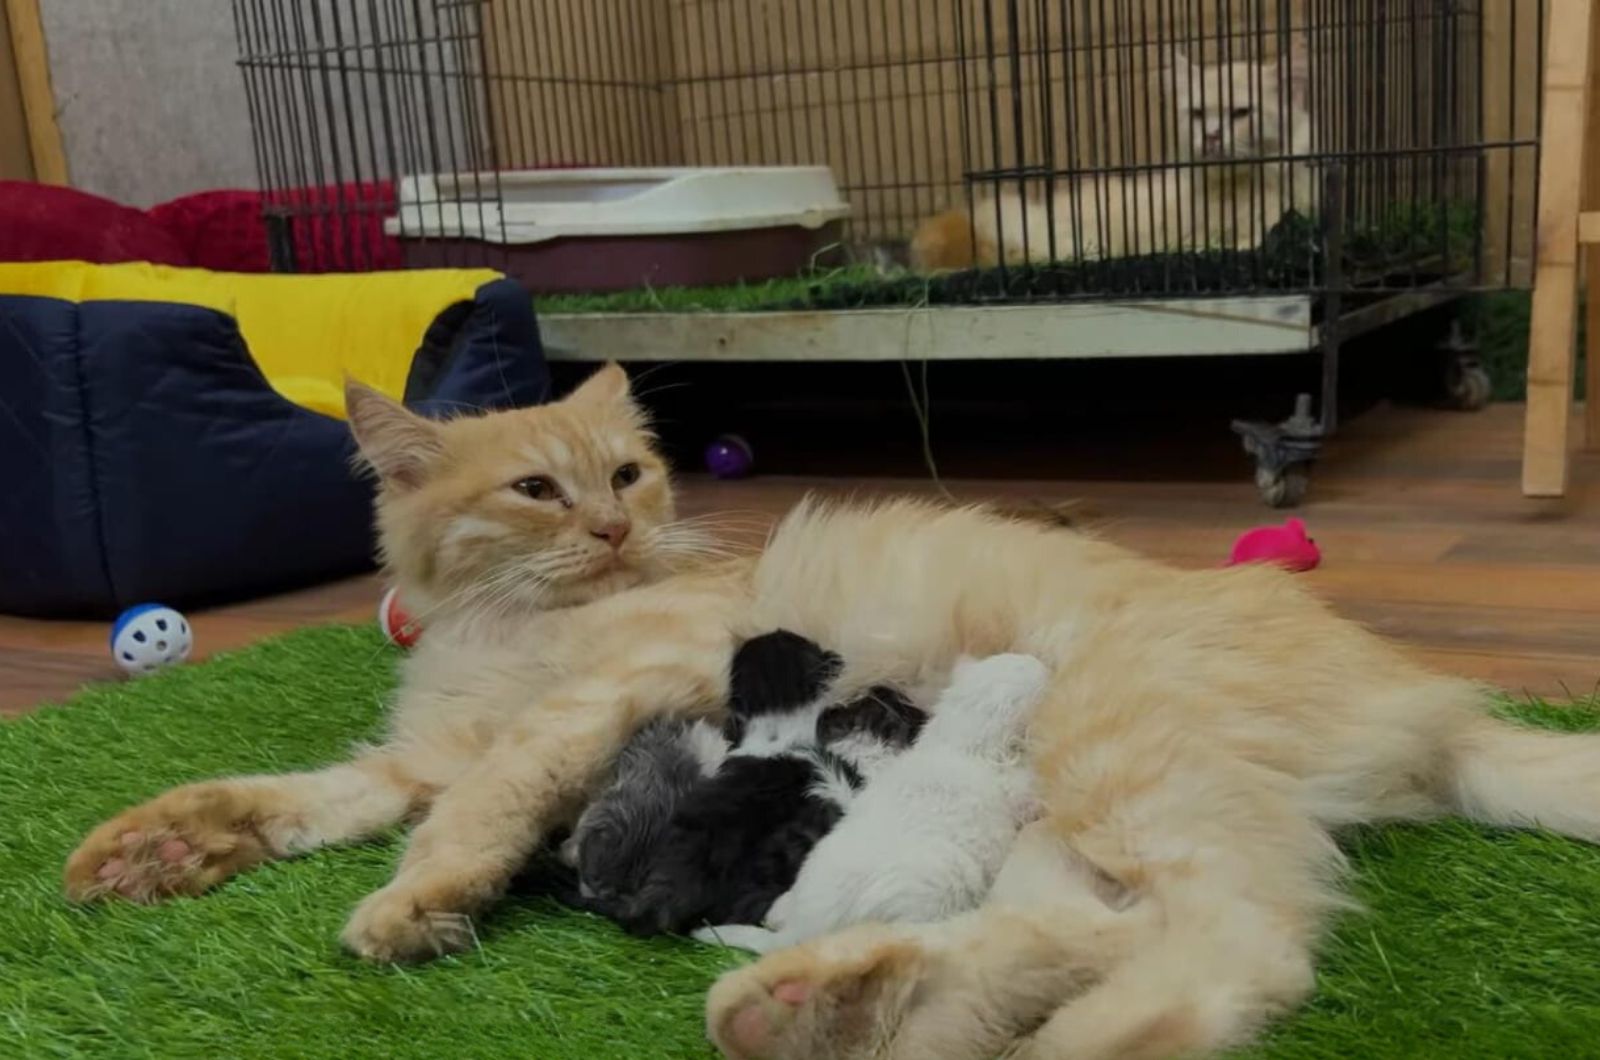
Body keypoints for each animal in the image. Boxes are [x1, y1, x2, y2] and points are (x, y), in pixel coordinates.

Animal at [915, 42, 1312, 270]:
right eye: (1198, 114)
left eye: (1242, 113)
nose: (1211, 136)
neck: (1235, 192)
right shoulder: (1185, 239)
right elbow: (1219, 244)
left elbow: (1255, 237)